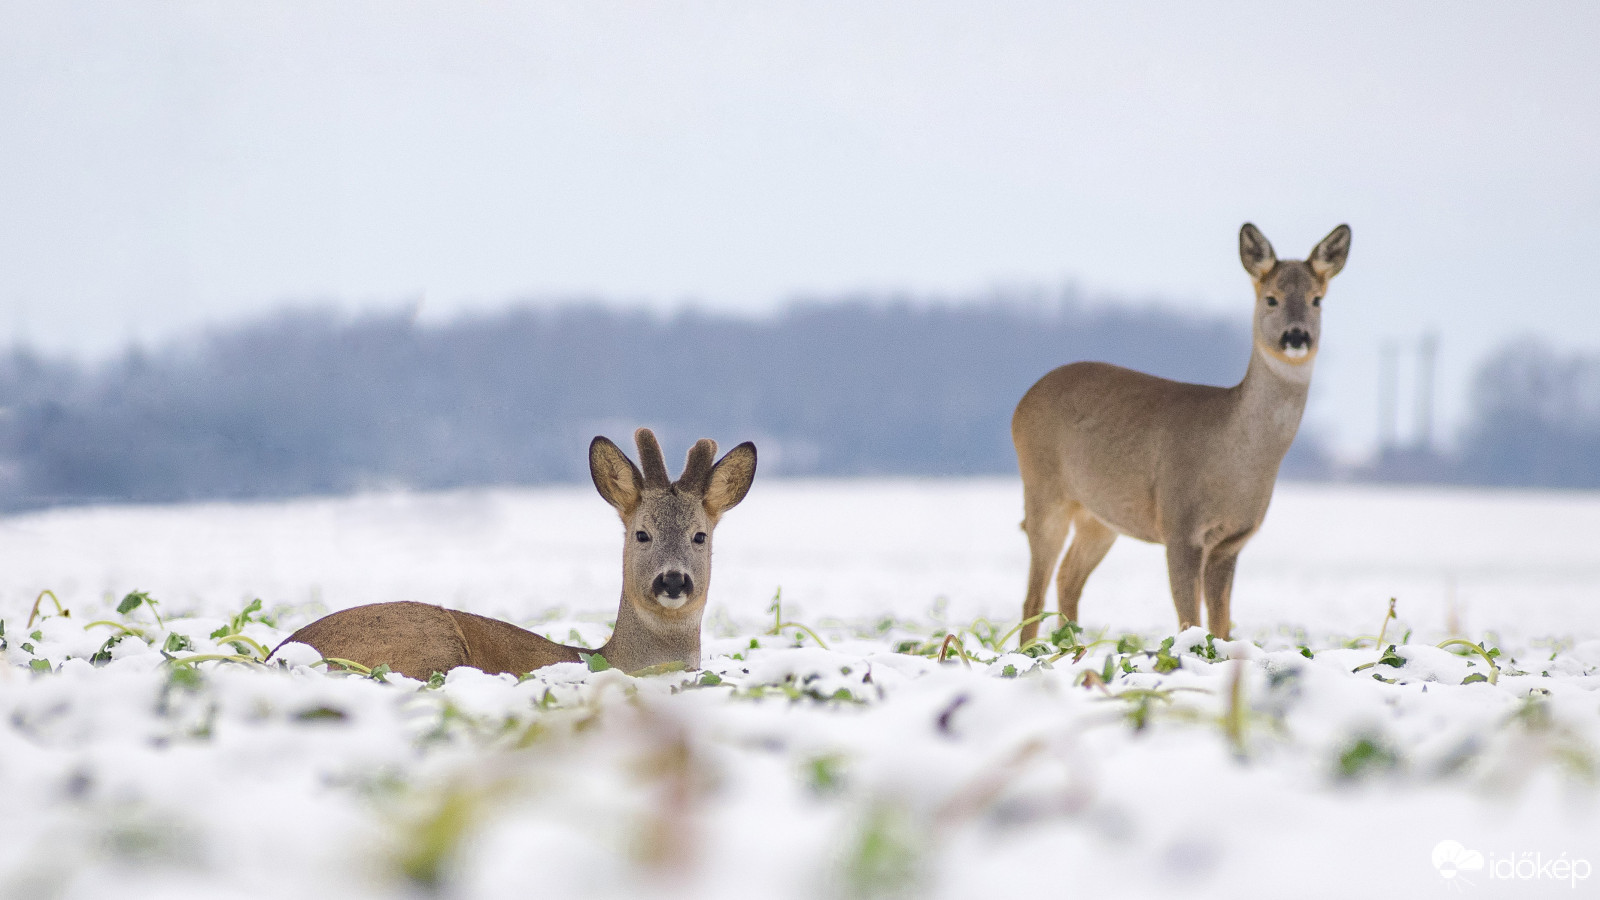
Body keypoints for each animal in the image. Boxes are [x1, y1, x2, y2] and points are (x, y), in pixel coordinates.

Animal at [268, 425, 755, 672]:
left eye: (700, 536)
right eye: (642, 534)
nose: (672, 580)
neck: (615, 660)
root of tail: (281, 652)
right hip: (431, 647)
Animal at [1011, 224, 1350, 643]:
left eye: (1317, 300)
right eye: (1271, 298)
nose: (1297, 336)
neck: (1236, 453)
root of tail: (1022, 402)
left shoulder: (1231, 541)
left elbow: (1221, 627)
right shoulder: (1180, 524)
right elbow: (1190, 621)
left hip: (1099, 516)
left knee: (1067, 580)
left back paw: (1075, 648)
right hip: (1044, 489)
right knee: (1033, 596)